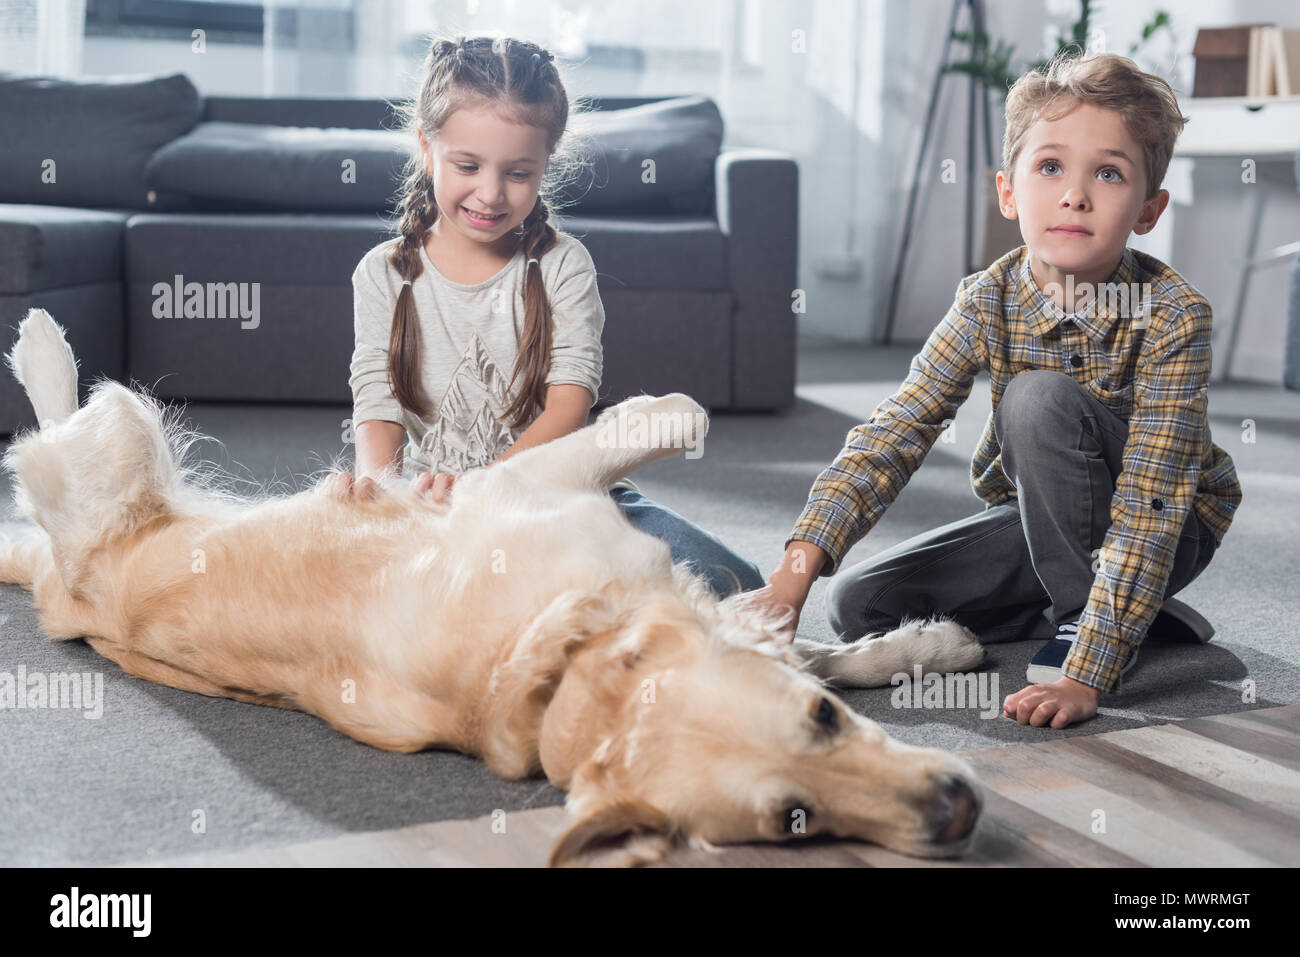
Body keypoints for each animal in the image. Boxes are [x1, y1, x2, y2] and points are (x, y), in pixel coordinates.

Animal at [2, 308, 982, 868]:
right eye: (794, 821)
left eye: (823, 725)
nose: (958, 811)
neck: (566, 658)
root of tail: (63, 589)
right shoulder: (535, 482)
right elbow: (681, 415)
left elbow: (802, 638)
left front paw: (927, 645)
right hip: (125, 430)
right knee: (50, 430)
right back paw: (42, 339)